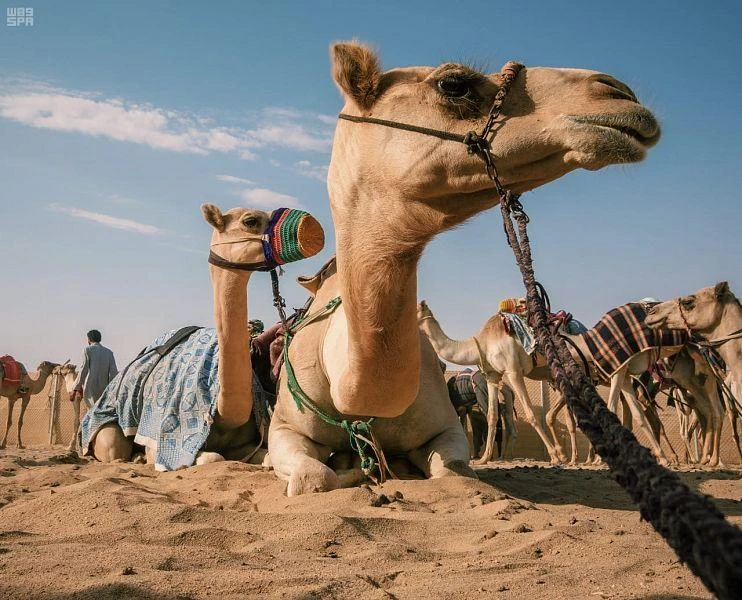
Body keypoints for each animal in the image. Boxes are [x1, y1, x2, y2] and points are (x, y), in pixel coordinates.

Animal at [85, 205, 324, 466]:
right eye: (250, 221)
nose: (312, 228)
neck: (222, 411)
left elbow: (268, 458)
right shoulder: (162, 439)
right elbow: (213, 458)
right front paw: (144, 457)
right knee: (114, 448)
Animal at [267, 41, 660, 495]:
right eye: (453, 84)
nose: (618, 93)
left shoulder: (450, 423)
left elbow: (454, 470)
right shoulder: (284, 428)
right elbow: (314, 477)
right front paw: (356, 469)